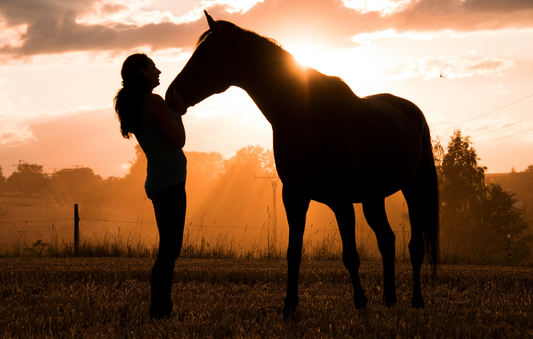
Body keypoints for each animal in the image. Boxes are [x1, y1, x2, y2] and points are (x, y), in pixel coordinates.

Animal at [168, 11, 438, 322]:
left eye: (205, 54)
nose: (171, 94)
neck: (306, 116)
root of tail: (412, 111)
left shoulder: (341, 201)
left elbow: (350, 254)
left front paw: (360, 302)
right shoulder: (294, 197)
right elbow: (293, 252)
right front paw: (289, 306)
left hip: (414, 190)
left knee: (414, 246)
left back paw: (416, 300)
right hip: (374, 198)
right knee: (387, 240)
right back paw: (390, 299)